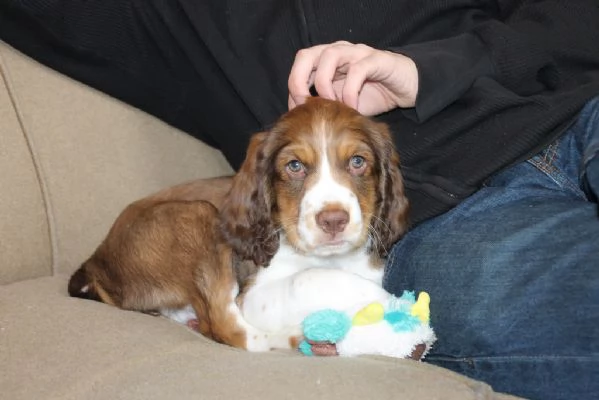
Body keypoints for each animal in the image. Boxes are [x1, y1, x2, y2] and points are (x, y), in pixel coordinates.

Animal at [68, 97, 410, 354]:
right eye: (294, 166)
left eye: (357, 162)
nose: (334, 220)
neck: (331, 259)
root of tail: (96, 261)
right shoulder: (254, 295)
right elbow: (308, 278)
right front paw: (390, 304)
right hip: (198, 217)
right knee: (227, 328)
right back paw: (296, 337)